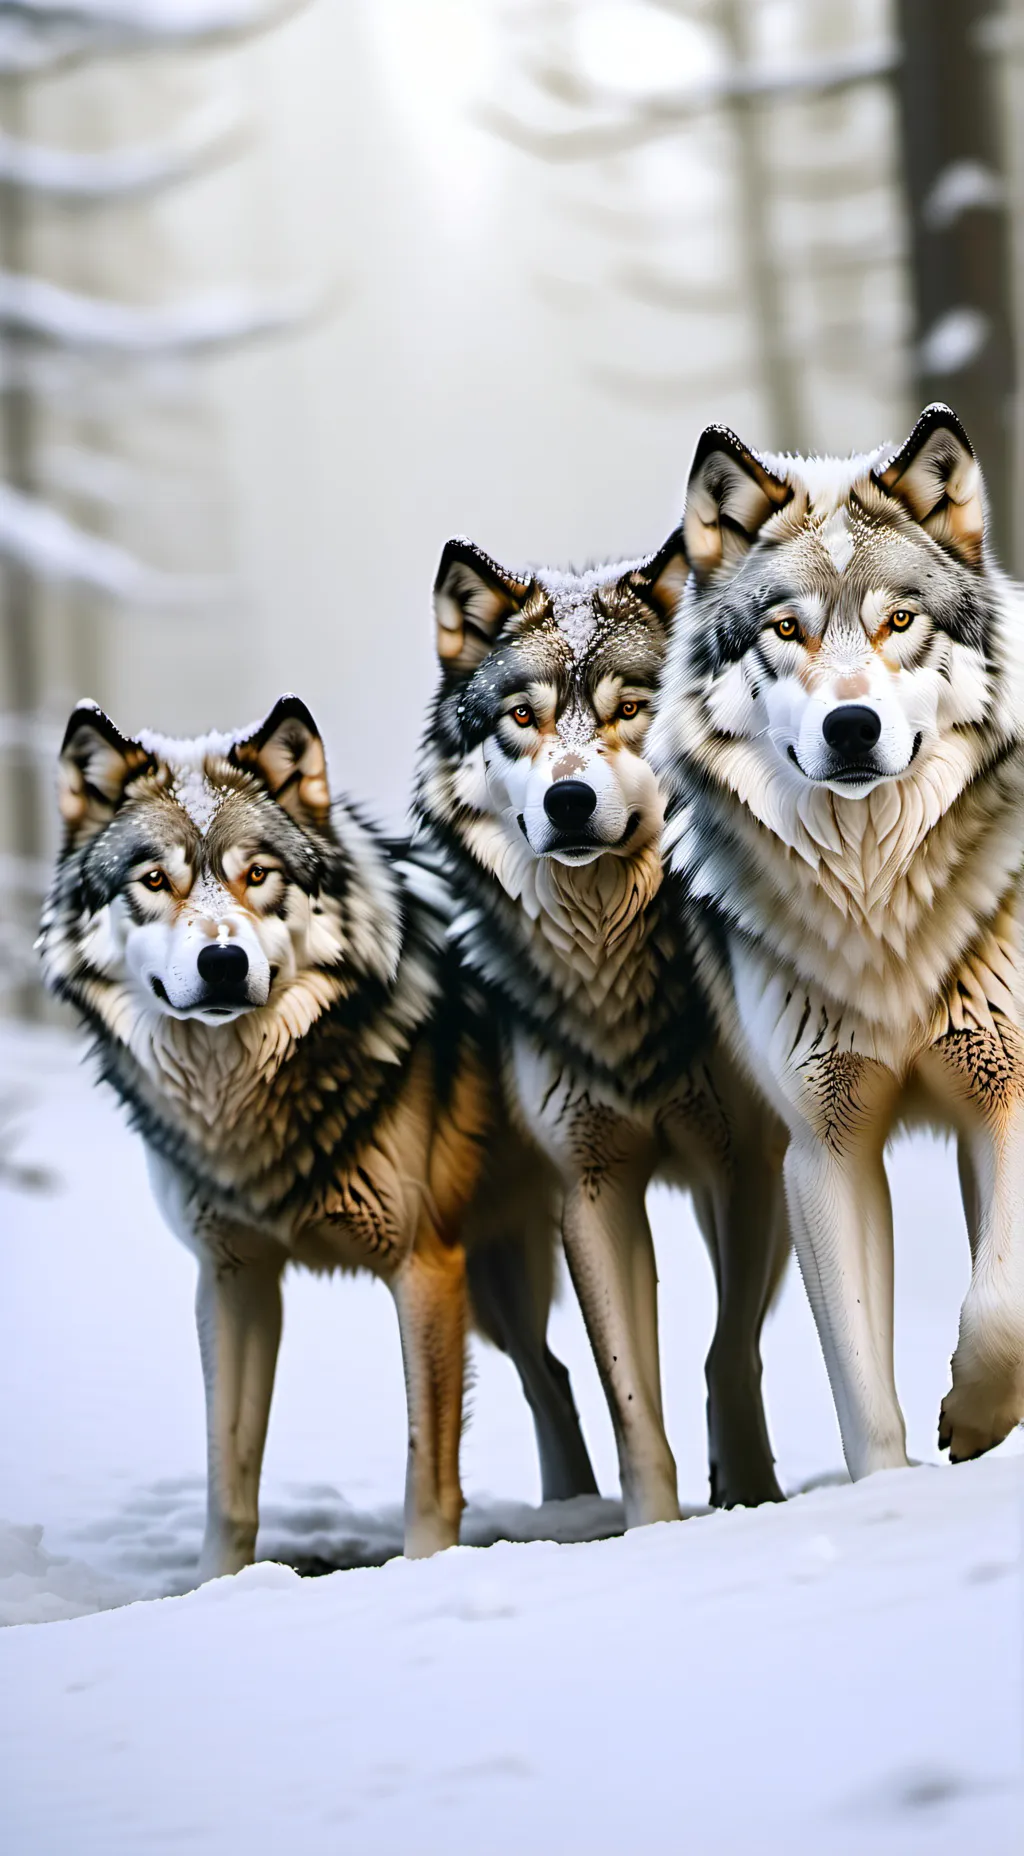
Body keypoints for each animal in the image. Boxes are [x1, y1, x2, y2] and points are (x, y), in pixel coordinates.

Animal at [39, 693, 595, 1580]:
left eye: (257, 874)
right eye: (155, 881)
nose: (223, 963)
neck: (243, 1095)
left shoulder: (423, 1268)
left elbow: (427, 1470)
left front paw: (422, 1572)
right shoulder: (232, 1280)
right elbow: (228, 1481)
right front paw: (217, 1588)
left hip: (497, 1278)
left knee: (556, 1379)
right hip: (499, 1288)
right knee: (556, 1379)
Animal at [414, 535, 789, 1523]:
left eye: (630, 709)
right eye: (522, 718)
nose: (571, 802)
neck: (613, 955)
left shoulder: (746, 1165)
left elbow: (727, 1352)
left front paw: (749, 1493)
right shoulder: (592, 1183)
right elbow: (627, 1395)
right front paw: (651, 1528)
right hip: (496, 1259)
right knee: (542, 1372)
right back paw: (566, 1508)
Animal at [650, 403, 1024, 1479]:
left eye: (900, 621)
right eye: (787, 629)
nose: (851, 727)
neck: (876, 899)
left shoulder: (1007, 1096)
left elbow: (998, 1299)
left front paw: (977, 1416)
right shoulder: (826, 1150)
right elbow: (864, 1396)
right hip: (752, 1192)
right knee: (722, 1351)